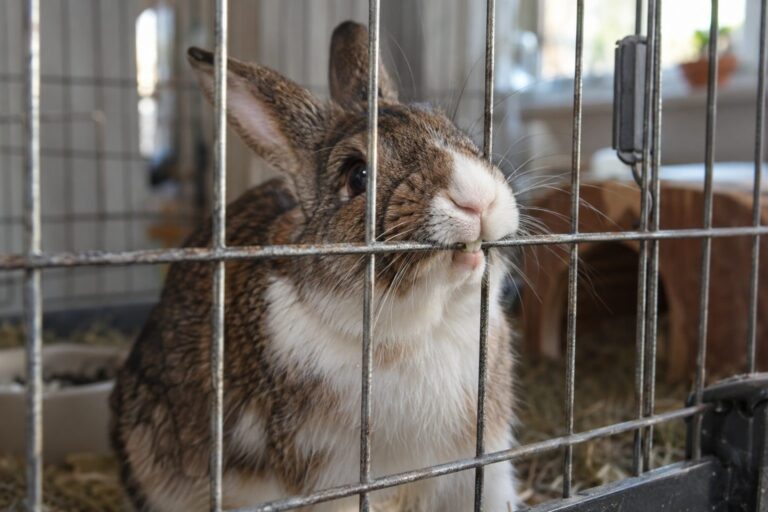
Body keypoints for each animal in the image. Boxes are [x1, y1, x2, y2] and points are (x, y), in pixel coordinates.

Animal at [110, 21, 521, 512]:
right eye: (357, 175)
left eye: (451, 129)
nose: (477, 199)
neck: (422, 329)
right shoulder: (333, 479)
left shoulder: (483, 462)